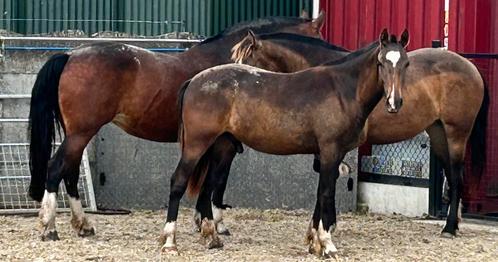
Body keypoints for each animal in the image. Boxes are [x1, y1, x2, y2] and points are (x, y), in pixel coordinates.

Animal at [28, 13, 326, 241]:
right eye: (318, 41)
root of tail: (70, 54)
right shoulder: (224, 144)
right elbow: (216, 182)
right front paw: (213, 224)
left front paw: (205, 222)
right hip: (81, 132)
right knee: (56, 168)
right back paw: (49, 227)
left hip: (79, 134)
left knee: (70, 171)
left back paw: (83, 225)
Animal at [161, 29, 410, 256]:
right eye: (381, 63)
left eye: (406, 64)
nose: (394, 102)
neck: (342, 89)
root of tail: (194, 80)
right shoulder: (330, 151)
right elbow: (326, 193)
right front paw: (327, 244)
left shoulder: (330, 155)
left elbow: (321, 193)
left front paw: (315, 243)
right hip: (196, 146)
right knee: (178, 182)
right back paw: (170, 242)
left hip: (221, 147)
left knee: (208, 186)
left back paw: (212, 238)